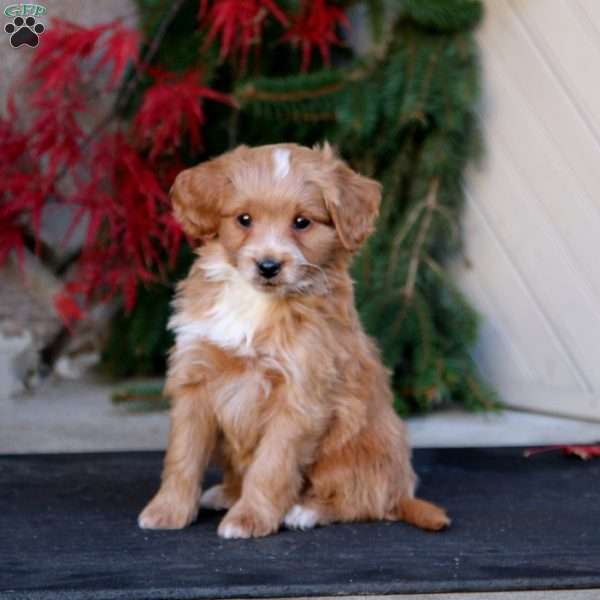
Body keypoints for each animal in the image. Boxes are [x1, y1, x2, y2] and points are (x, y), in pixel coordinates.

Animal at [139, 142, 450, 540]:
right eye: (244, 219)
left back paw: (306, 510)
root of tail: (403, 492)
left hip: (351, 452)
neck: (257, 302)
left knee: (363, 500)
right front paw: (168, 510)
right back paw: (226, 493)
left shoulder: (299, 396)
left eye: (302, 222)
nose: (268, 266)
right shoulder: (195, 378)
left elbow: (271, 466)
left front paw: (249, 518)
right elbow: (182, 455)